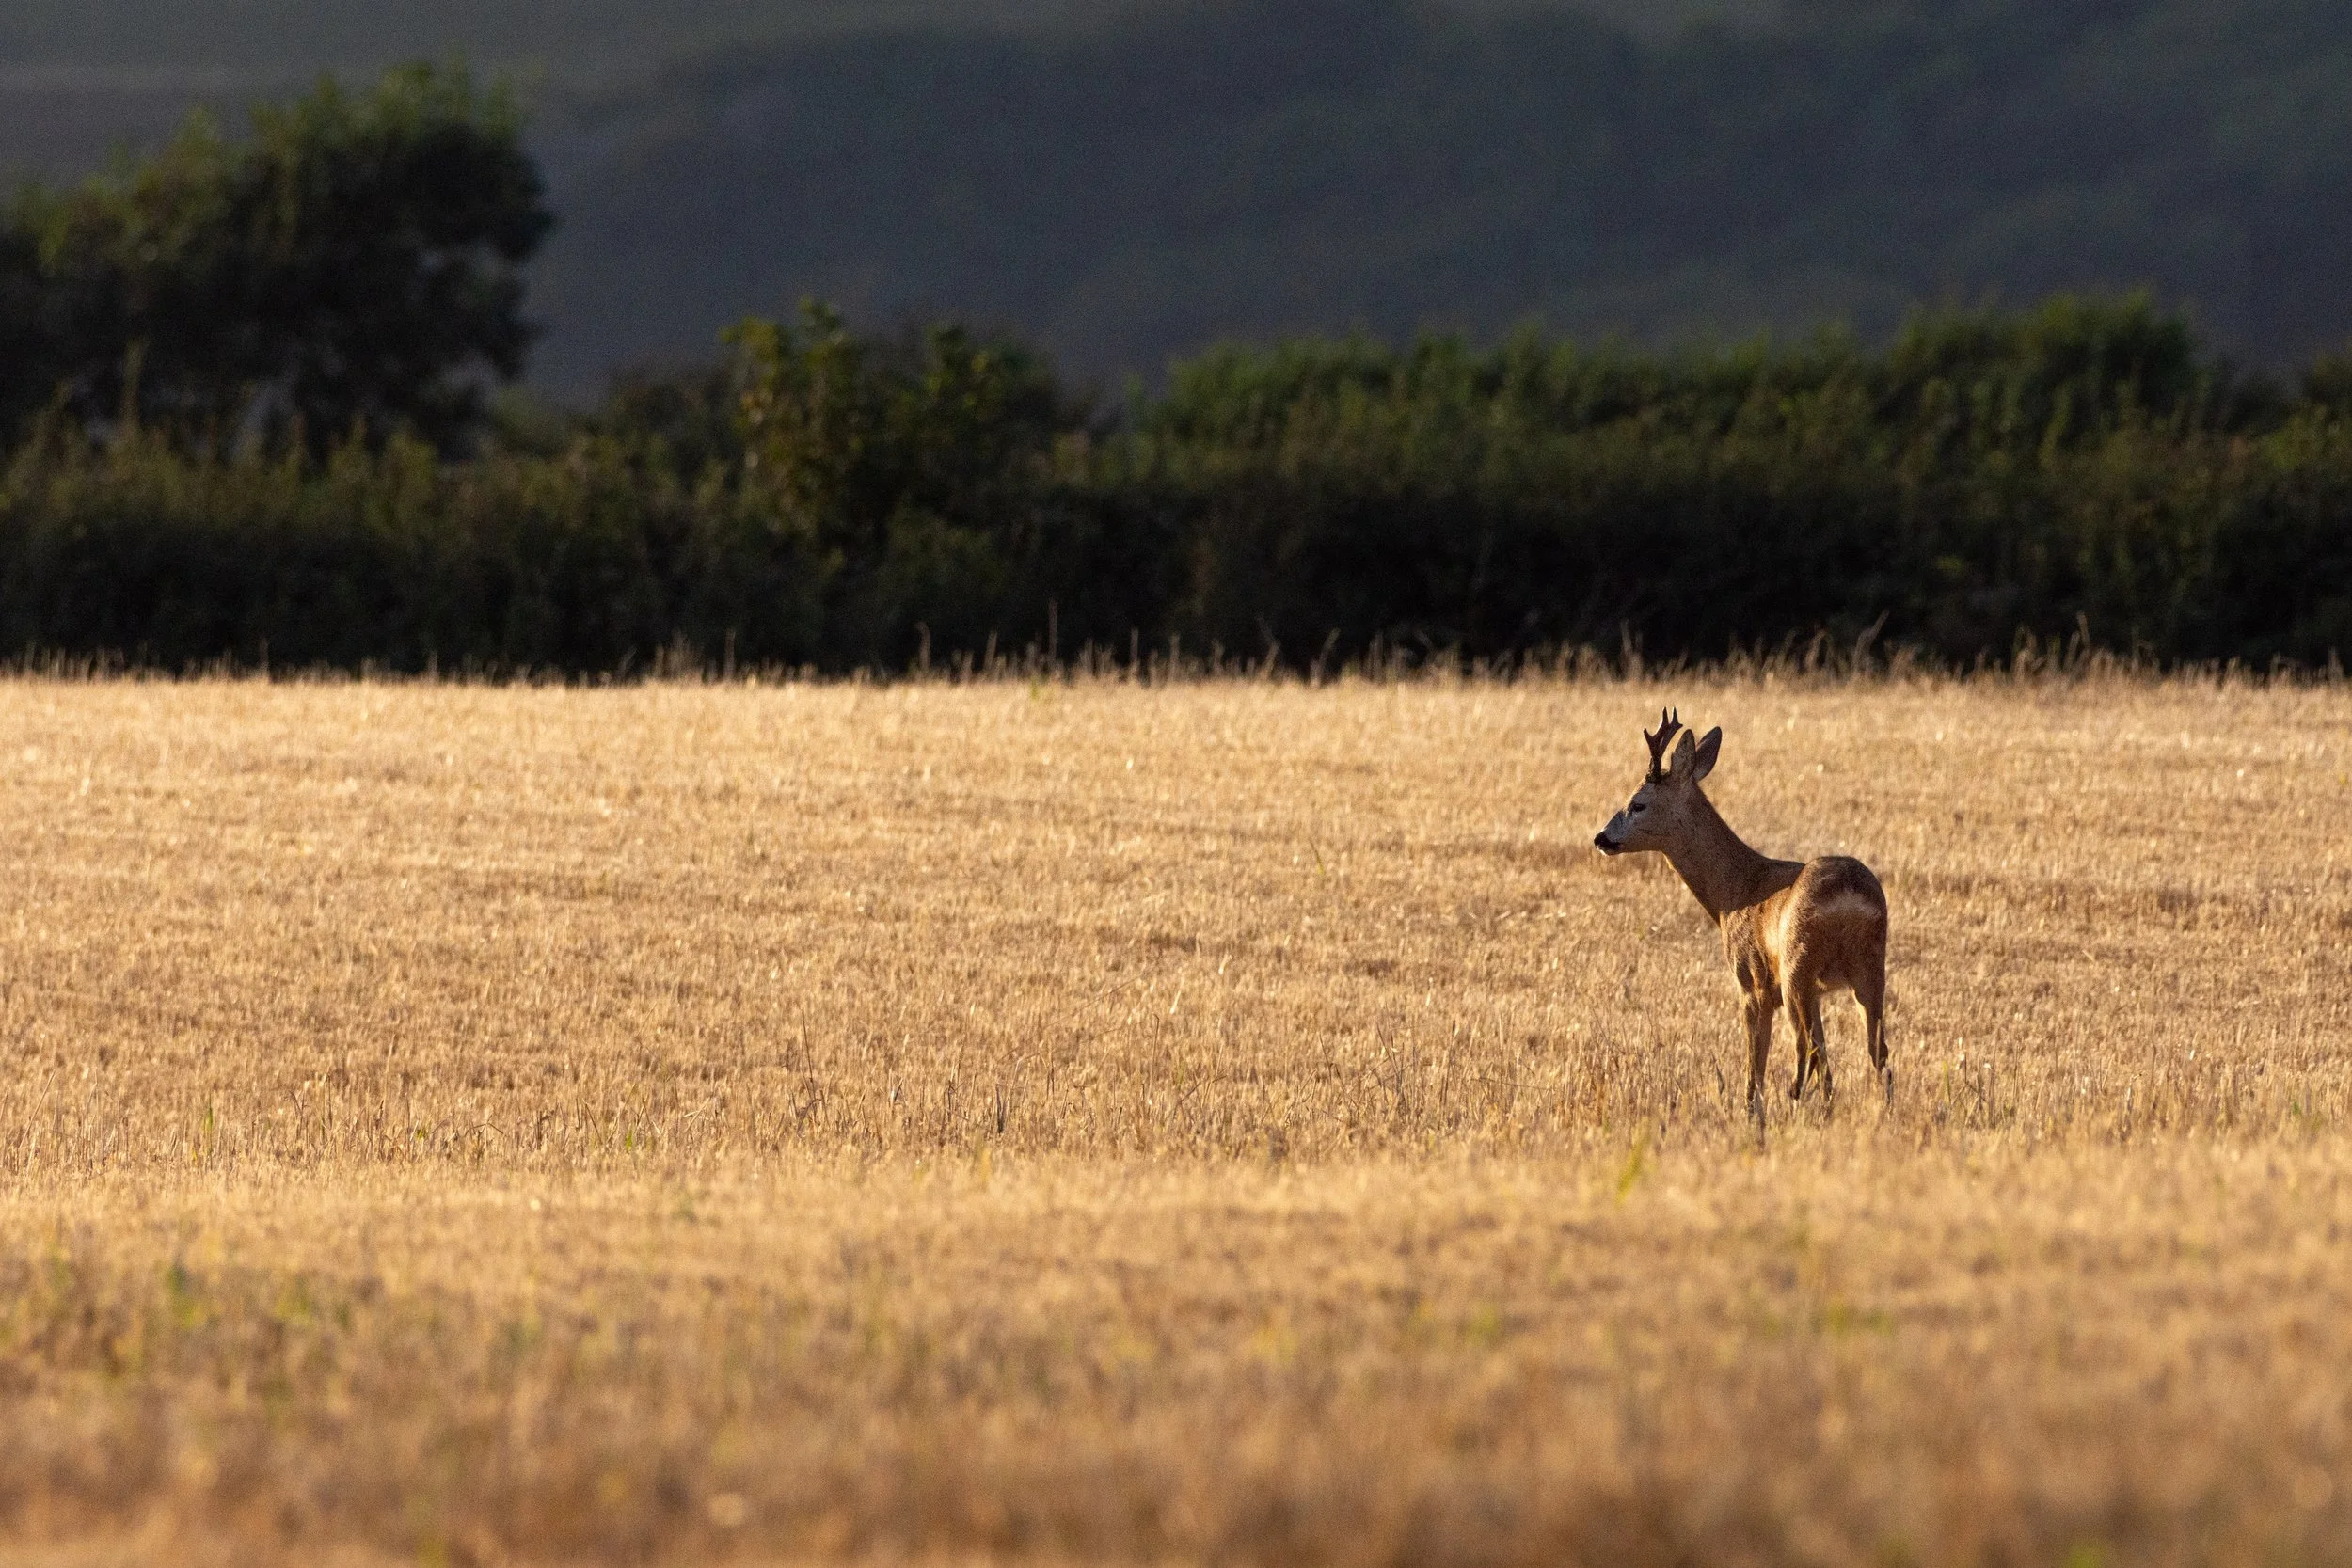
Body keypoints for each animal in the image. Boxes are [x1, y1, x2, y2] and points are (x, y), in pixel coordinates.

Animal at [1592, 709, 1890, 1123]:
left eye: (1637, 803)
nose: (1600, 838)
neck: (1732, 893)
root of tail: (1850, 895)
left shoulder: (1752, 983)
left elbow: (1755, 1067)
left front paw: (1752, 1117)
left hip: (1797, 966)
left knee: (1807, 1047)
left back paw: (1796, 1097)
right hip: (1870, 969)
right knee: (1875, 1053)